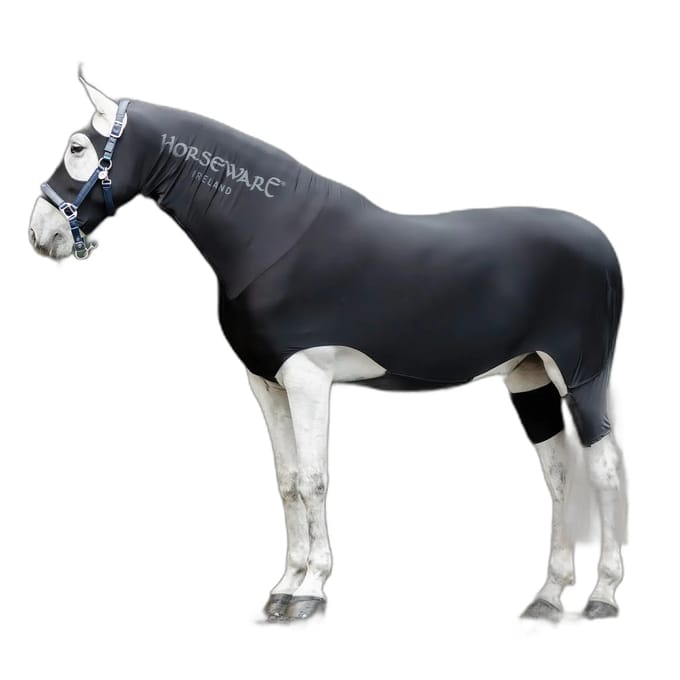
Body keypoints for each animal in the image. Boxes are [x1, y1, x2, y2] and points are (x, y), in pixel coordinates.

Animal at [28, 69, 626, 622]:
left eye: (77, 147)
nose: (40, 233)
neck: (269, 238)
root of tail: (602, 246)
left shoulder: (308, 377)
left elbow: (316, 480)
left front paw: (311, 592)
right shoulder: (266, 382)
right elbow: (288, 481)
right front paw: (283, 586)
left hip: (581, 377)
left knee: (604, 469)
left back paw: (602, 595)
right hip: (528, 378)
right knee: (558, 476)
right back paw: (548, 597)